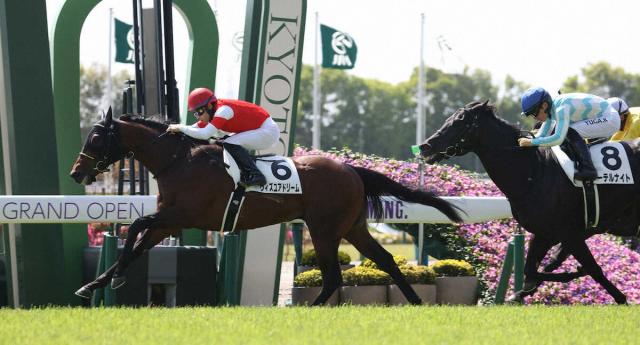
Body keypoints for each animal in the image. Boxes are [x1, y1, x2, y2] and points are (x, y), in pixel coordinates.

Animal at [70, 107, 462, 304]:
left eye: (95, 137)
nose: (77, 172)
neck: (178, 161)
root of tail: (351, 169)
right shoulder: (169, 222)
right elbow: (137, 245)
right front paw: (95, 284)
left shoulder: (181, 214)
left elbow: (136, 227)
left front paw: (113, 277)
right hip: (353, 227)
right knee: (385, 260)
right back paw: (416, 301)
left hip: (324, 230)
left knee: (333, 276)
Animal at [420, 100, 640, 304]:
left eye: (460, 122)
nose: (425, 146)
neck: (535, 171)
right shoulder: (545, 233)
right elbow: (532, 269)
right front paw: (523, 291)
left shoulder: (570, 233)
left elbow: (592, 268)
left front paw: (619, 296)